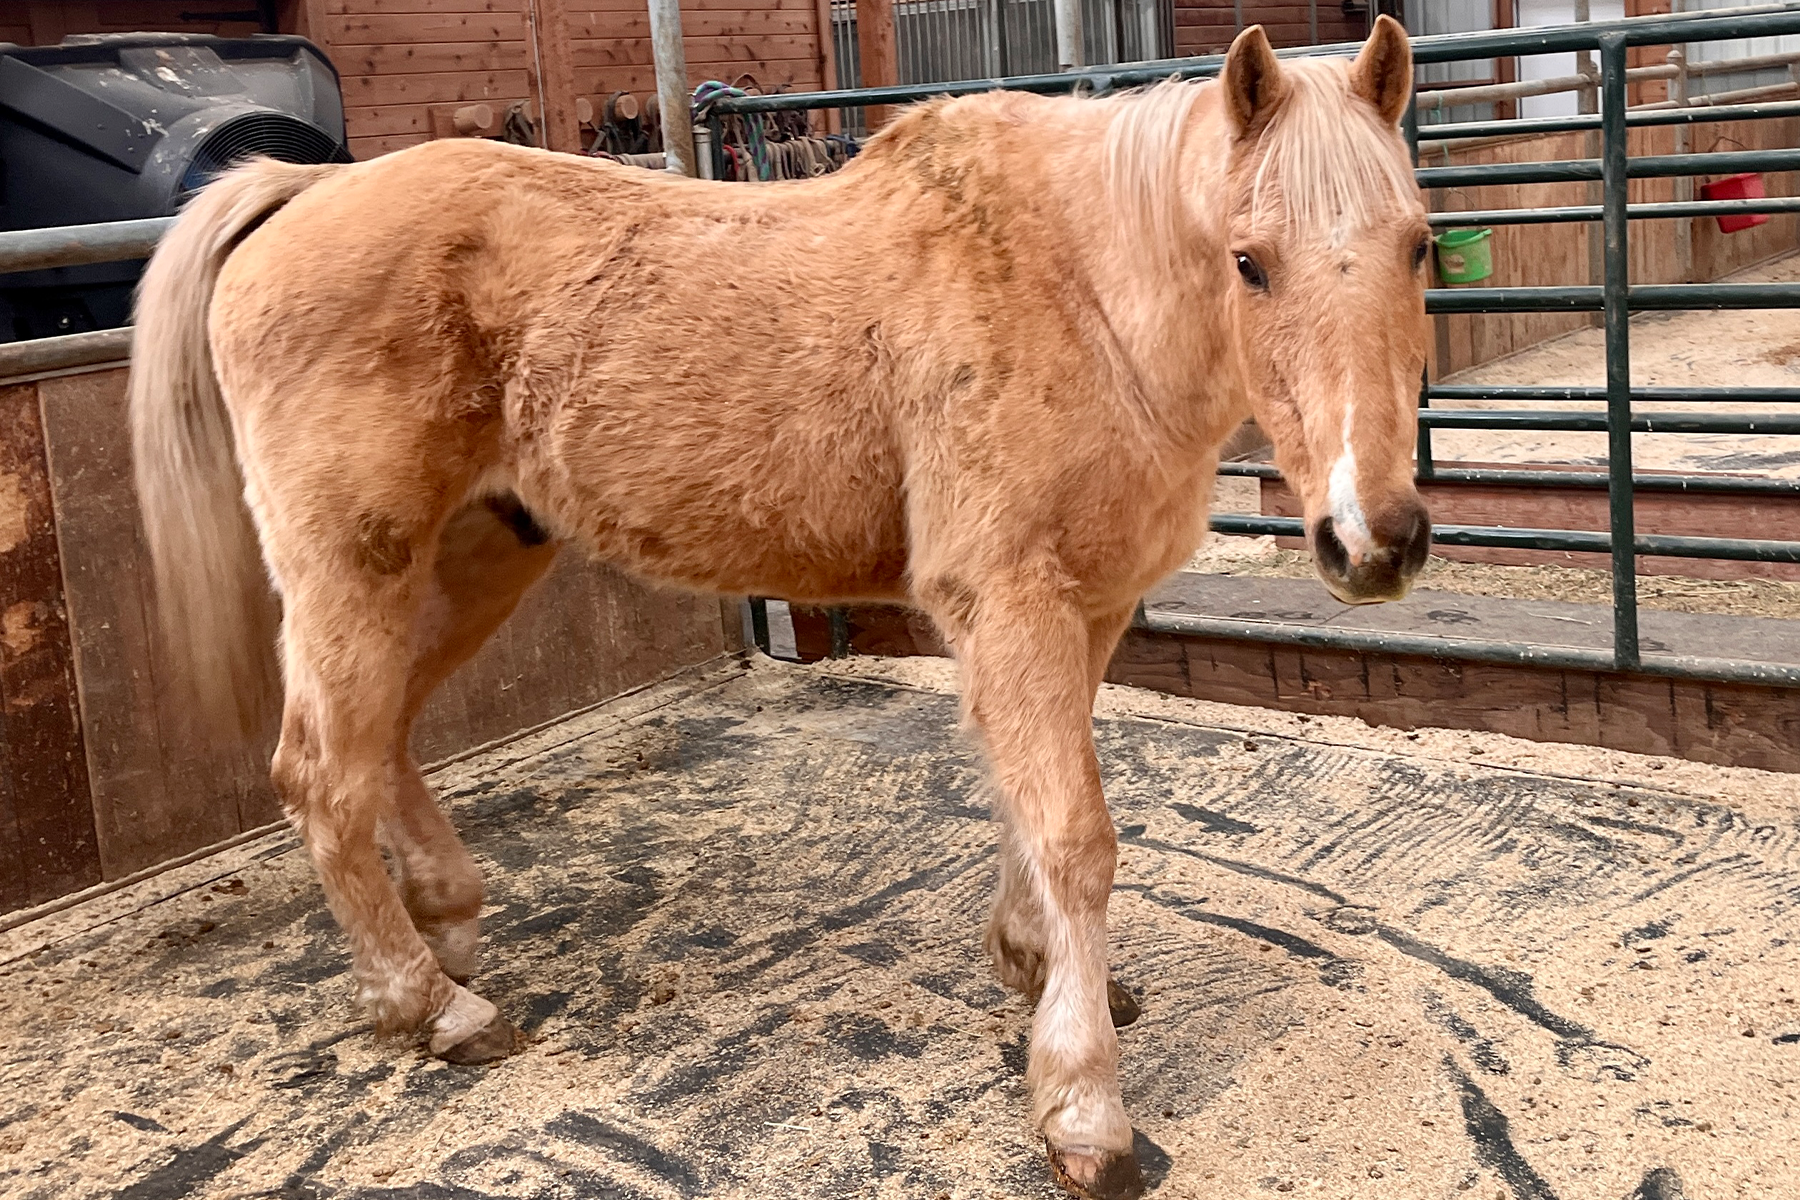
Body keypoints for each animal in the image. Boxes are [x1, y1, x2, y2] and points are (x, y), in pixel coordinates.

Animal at [129, 19, 1430, 1198]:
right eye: (1250, 260)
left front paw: (1039, 967)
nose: (1377, 540)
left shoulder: (1084, 609)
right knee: (321, 771)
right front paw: (1082, 1106)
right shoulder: (1011, 601)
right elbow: (1074, 835)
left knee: (380, 735)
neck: (1076, 292)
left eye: (1418, 245)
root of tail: (304, 193)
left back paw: (446, 931)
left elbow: (1031, 809)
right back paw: (428, 1006)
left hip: (471, 561)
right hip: (353, 567)